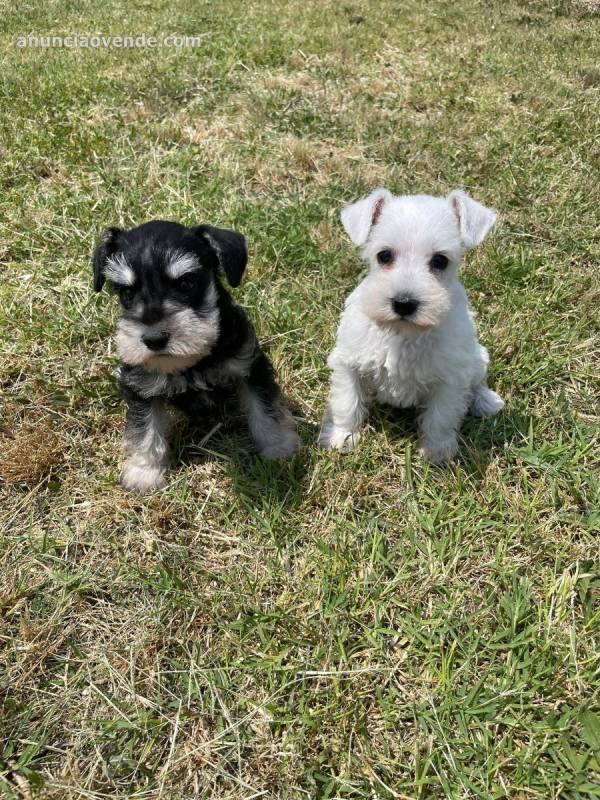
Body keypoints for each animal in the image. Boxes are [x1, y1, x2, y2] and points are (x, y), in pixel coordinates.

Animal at [93, 220, 300, 494]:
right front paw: (144, 472)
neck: (192, 363)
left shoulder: (249, 366)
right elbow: (145, 428)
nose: (154, 339)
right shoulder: (140, 385)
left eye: (186, 283)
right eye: (126, 292)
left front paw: (278, 448)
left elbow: (265, 410)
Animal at [322, 189, 504, 462]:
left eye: (440, 261)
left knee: (477, 381)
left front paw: (437, 451)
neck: (403, 334)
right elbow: (347, 401)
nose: (404, 303)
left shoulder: (450, 379)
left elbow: (441, 417)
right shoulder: (348, 362)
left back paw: (487, 401)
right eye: (384, 256)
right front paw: (342, 437)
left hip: (478, 356)